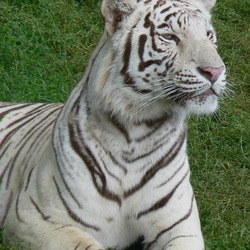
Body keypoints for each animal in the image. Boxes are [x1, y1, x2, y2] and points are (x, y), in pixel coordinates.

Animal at [0, 0, 227, 249]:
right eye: (169, 37)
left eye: (209, 35)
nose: (215, 72)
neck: (137, 132)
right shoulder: (32, 216)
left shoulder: (180, 225)